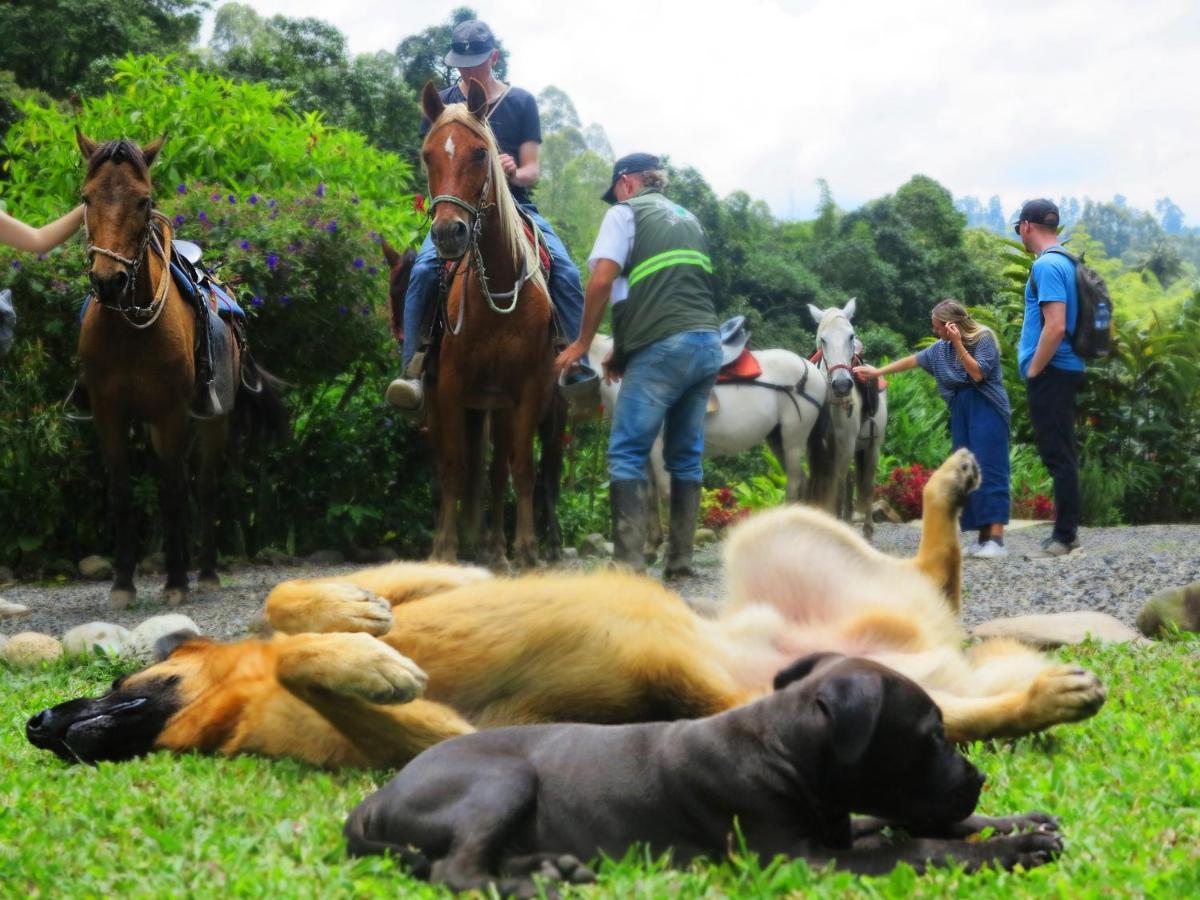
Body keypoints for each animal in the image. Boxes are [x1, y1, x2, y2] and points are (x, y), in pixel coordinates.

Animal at [25, 451, 1104, 768]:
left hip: (773, 528)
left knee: (939, 586)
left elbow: (295, 603)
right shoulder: (434, 740)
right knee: (958, 706)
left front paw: (354, 621)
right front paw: (363, 658)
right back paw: (1036, 698)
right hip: (792, 686)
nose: (36, 724)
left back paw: (945, 496)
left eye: (114, 680)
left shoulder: (454, 576)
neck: (234, 697)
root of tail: (940, 656)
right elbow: (308, 653)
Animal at [75, 130, 285, 609]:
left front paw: (174, 581)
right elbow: (122, 492)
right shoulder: (109, 413)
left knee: (203, 486)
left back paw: (203, 572)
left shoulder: (171, 412)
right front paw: (123, 583)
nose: (108, 281)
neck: (128, 329)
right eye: (86, 197)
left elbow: (172, 491)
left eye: (144, 201)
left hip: (211, 419)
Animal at [348, 657, 1060, 897]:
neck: (783, 750)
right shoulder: (803, 858)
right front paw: (1014, 848)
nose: (978, 780)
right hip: (504, 778)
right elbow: (916, 845)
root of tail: (379, 795)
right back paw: (536, 885)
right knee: (455, 869)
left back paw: (554, 869)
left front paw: (1017, 821)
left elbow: (890, 820)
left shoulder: (835, 827)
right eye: (932, 736)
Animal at [417, 81, 556, 566]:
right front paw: (443, 549)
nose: (448, 234)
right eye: (428, 155)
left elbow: (521, 468)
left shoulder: (528, 387)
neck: (496, 277)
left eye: (480, 153)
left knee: (497, 472)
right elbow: (455, 466)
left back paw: (496, 548)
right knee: (451, 463)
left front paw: (528, 550)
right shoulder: (451, 384)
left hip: (499, 403)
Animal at [588, 331, 825, 556]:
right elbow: (648, 493)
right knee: (802, 481)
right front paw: (651, 546)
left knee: (794, 482)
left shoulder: (657, 447)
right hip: (777, 440)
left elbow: (665, 492)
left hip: (793, 441)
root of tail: (810, 368)